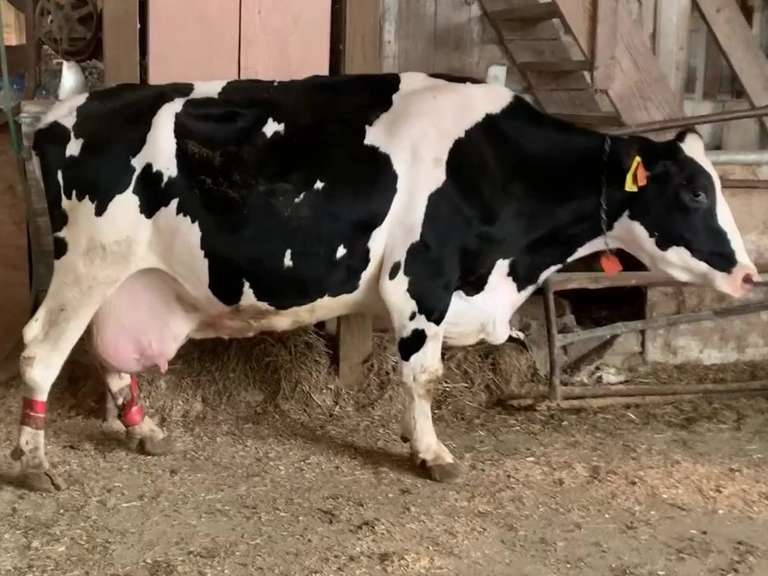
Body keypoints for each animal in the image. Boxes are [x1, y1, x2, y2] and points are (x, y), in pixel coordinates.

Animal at [12, 71, 757, 491]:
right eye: (693, 191)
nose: (749, 272)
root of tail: (63, 113)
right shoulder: (419, 282)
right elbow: (424, 377)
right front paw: (431, 453)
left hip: (122, 275)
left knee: (105, 350)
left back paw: (141, 429)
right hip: (88, 260)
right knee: (41, 349)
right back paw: (31, 461)